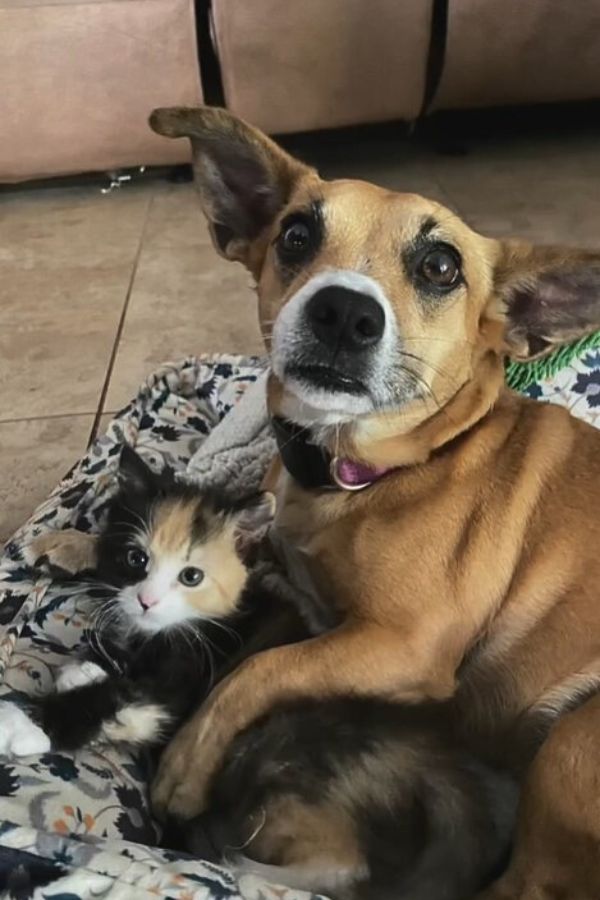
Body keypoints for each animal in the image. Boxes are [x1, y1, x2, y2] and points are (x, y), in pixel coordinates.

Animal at [148, 109, 600, 896]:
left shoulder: (401, 647)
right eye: (296, 234)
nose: (343, 311)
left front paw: (185, 766)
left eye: (441, 266)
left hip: (572, 745)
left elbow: (261, 671)